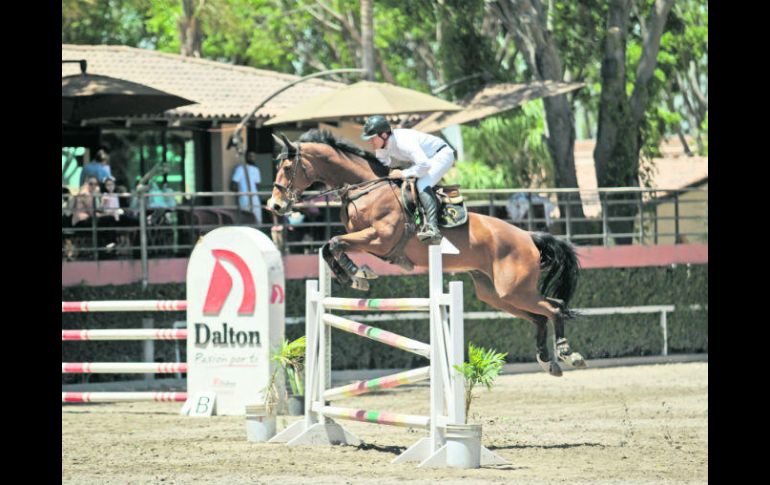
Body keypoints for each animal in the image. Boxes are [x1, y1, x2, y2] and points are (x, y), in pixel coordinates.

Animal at [268, 129, 584, 374]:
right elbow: (330, 245)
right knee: (541, 316)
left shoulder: (379, 239)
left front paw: (356, 275)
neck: (367, 189)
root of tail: (528, 236)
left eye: (288, 168)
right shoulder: (370, 241)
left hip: (514, 289)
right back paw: (547, 361)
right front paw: (358, 274)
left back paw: (568, 353)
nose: (275, 206)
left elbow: (334, 242)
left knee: (554, 308)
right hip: (496, 294)